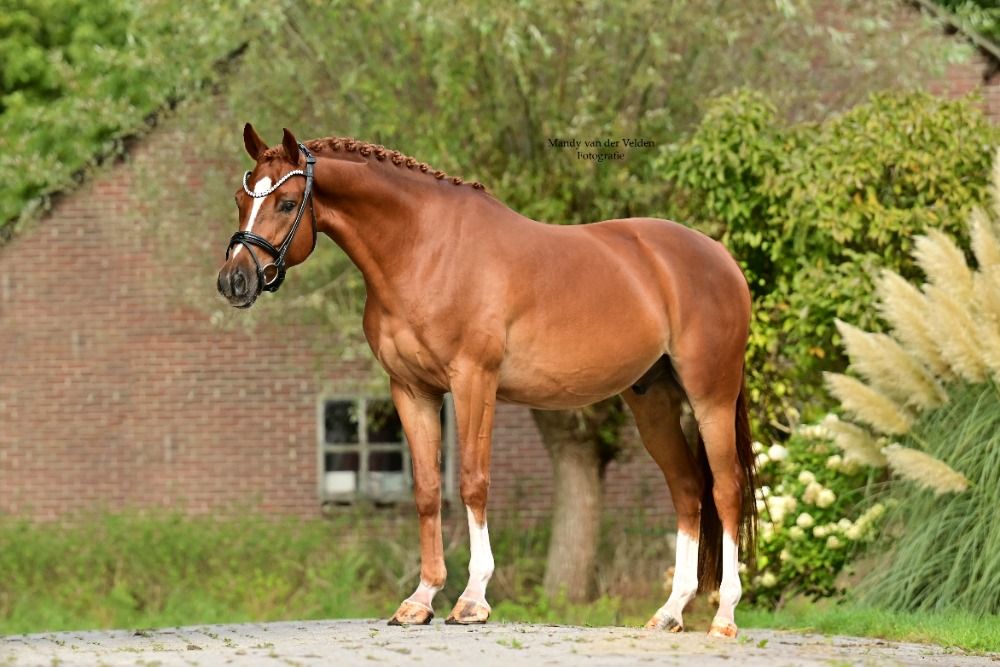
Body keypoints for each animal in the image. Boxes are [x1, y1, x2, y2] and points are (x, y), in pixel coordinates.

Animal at [217, 124, 757, 638]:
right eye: (242, 200)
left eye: (287, 203)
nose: (234, 282)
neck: (424, 249)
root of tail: (720, 256)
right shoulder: (411, 390)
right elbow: (428, 490)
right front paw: (419, 600)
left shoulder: (474, 380)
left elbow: (473, 483)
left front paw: (472, 600)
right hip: (653, 400)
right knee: (687, 488)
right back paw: (669, 612)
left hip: (710, 395)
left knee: (726, 489)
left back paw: (724, 616)